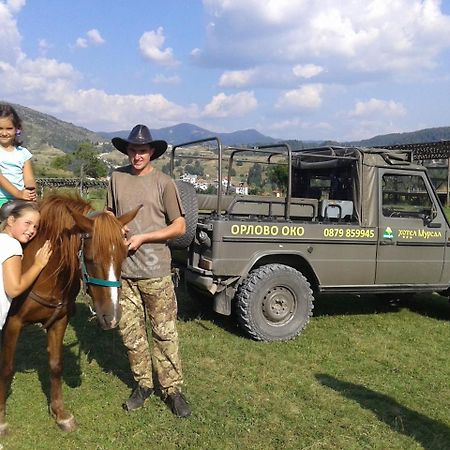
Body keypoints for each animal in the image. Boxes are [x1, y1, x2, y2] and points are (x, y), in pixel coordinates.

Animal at [0, 192, 139, 432]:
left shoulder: (59, 321)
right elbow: (7, 369)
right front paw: (0, 418)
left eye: (124, 255)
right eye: (91, 258)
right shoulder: (13, 323)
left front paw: (60, 414)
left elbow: (56, 365)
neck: (42, 273)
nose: (111, 317)